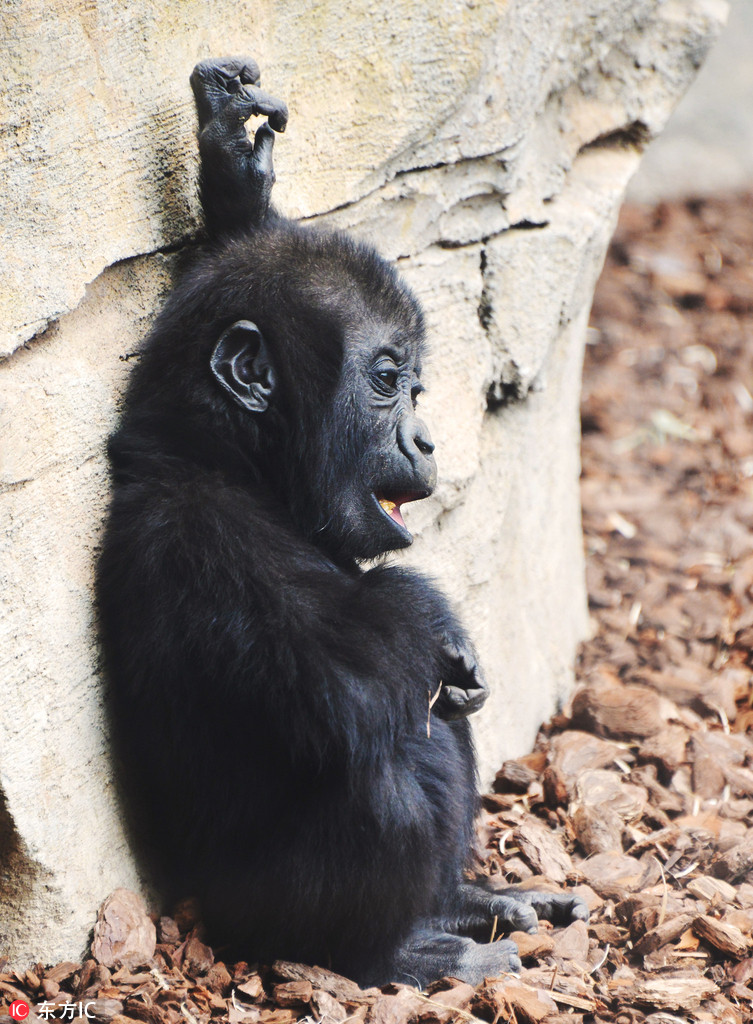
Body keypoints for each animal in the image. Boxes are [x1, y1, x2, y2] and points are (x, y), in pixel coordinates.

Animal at [95, 58, 590, 991]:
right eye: (387, 379)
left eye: (416, 386)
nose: (424, 437)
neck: (234, 471)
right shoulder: (203, 537)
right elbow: (349, 680)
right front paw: (434, 613)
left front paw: (234, 172)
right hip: (255, 920)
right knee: (376, 769)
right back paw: (397, 951)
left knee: (435, 723)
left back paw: (463, 902)